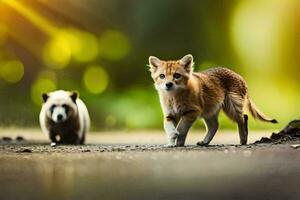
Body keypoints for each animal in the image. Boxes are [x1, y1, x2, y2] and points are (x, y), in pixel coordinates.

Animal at [149, 54, 278, 147]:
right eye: (162, 76)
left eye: (177, 76)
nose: (168, 84)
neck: (173, 97)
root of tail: (240, 77)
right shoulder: (170, 115)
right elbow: (167, 126)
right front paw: (171, 140)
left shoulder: (192, 112)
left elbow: (181, 127)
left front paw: (178, 140)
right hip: (209, 111)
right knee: (215, 125)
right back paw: (205, 142)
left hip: (232, 107)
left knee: (243, 118)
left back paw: (243, 140)